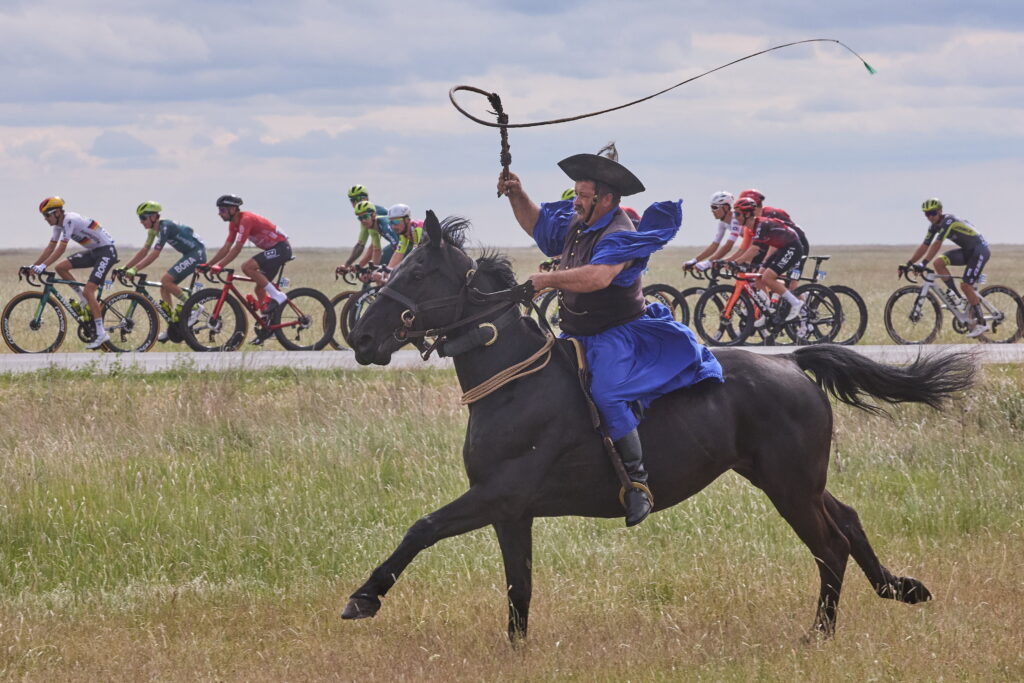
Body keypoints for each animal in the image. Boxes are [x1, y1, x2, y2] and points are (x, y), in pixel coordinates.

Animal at [344, 211, 974, 643]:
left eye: (418, 271)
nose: (363, 337)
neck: (515, 381)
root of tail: (792, 362)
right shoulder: (510, 513)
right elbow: (518, 588)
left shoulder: (495, 496)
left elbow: (422, 529)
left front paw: (363, 597)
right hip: (793, 481)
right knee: (848, 519)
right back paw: (900, 587)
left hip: (789, 488)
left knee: (831, 546)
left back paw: (820, 633)